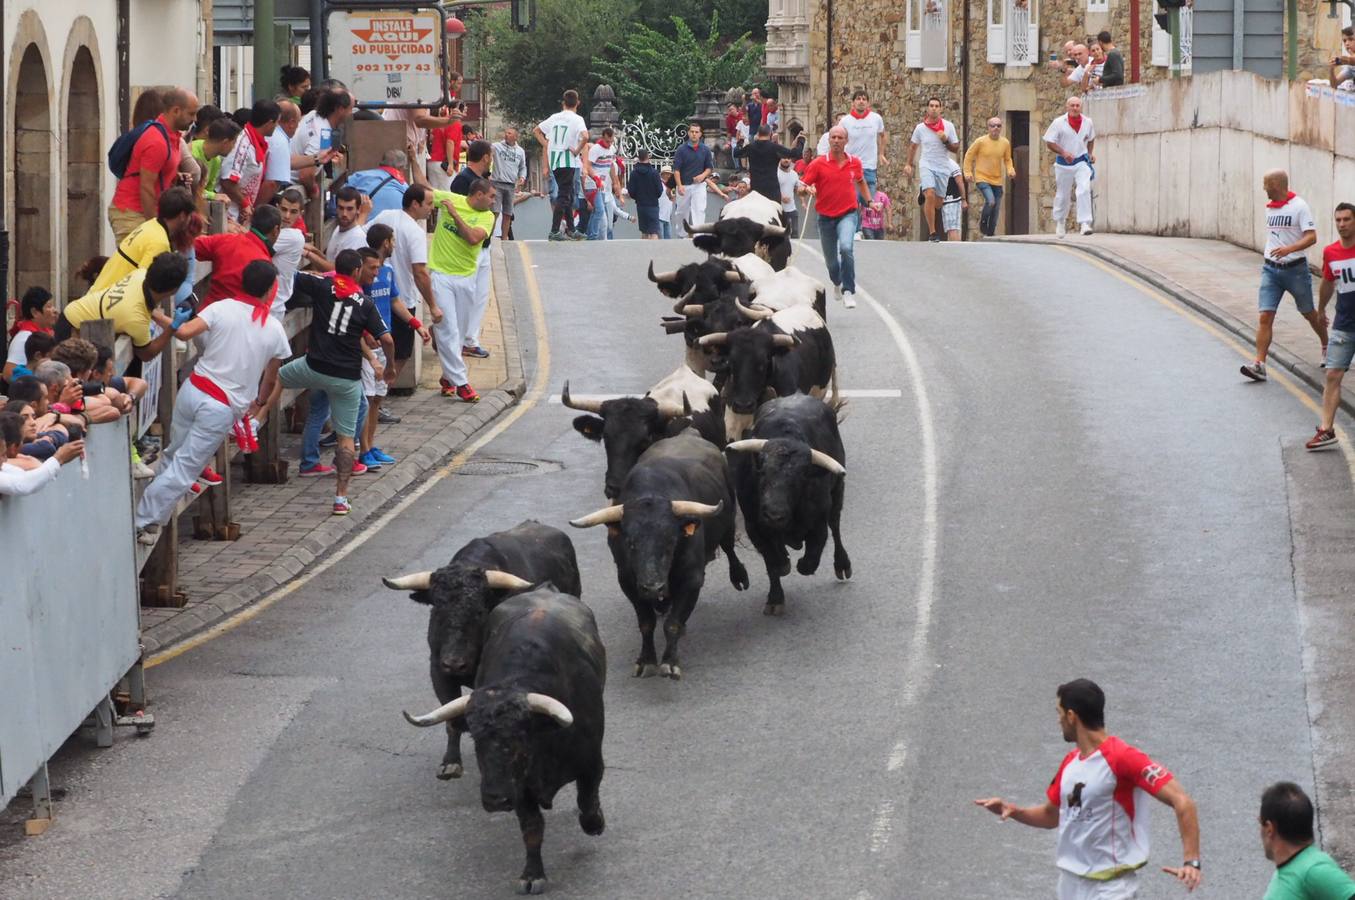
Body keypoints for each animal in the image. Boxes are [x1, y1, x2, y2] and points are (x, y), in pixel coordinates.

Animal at [379, 520, 579, 780]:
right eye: (438, 608)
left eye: (479, 611)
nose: (455, 663)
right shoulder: (438, 671)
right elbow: (450, 715)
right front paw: (450, 763)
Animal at [395, 590, 598, 894]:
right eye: (476, 739)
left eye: (520, 736)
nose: (495, 799)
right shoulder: (519, 788)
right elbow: (532, 828)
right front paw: (532, 875)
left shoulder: (592, 763)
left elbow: (587, 800)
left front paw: (594, 824)